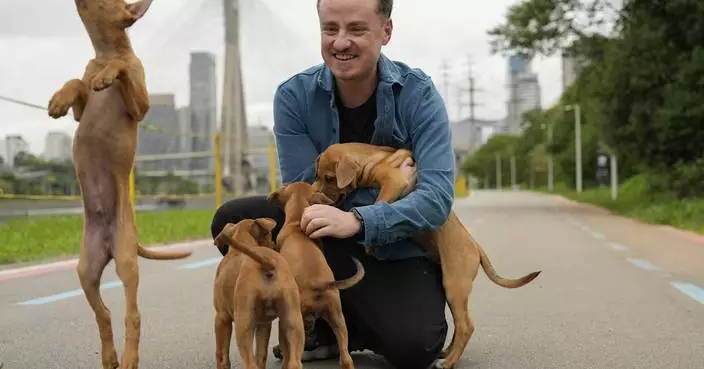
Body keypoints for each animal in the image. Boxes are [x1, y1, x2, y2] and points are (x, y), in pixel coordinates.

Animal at [46, 1, 192, 366]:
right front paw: (59, 99)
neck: (105, 52)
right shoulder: (81, 111)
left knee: (132, 314)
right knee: (104, 313)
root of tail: (111, 244)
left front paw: (109, 75)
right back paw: (110, 355)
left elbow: (122, 71)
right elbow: (77, 84)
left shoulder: (141, 106)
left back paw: (128, 357)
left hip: (126, 261)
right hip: (86, 269)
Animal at [212, 218, 306, 368]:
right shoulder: (264, 324)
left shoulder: (222, 318)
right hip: (293, 321)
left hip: (243, 327)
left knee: (250, 363)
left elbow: (222, 355)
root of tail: (267, 262)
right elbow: (261, 355)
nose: (275, 245)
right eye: (269, 235)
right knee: (294, 362)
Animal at [266, 181, 366, 368]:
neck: (297, 223)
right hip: (338, 318)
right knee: (346, 358)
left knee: (293, 360)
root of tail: (318, 285)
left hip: (292, 322)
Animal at [310, 142, 540, 368]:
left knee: (466, 325)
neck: (370, 158)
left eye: (329, 178)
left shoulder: (394, 181)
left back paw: (448, 362)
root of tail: (475, 246)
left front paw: (370, 238)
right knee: (460, 324)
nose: (315, 194)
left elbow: (379, 202)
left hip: (455, 285)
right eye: (317, 176)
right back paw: (447, 353)